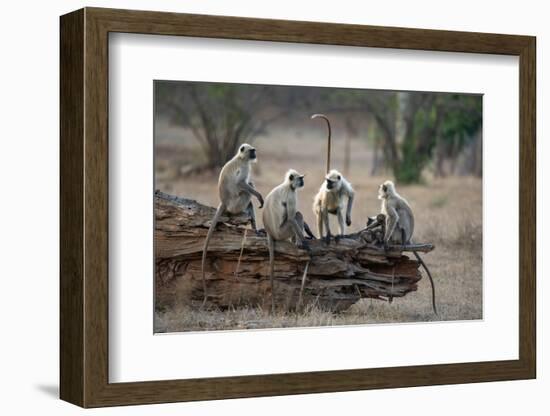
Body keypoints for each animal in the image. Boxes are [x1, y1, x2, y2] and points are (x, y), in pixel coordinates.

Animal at [201, 145, 266, 304]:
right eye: (252, 151)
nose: (255, 154)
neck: (240, 158)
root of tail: (224, 203)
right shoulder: (244, 167)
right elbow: (240, 183)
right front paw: (259, 196)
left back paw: (255, 229)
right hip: (237, 205)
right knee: (248, 187)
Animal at [264, 169, 314, 312]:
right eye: (300, 178)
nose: (303, 182)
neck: (288, 185)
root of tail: (269, 231)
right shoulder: (291, 195)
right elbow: (292, 218)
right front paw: (306, 244)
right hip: (282, 232)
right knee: (296, 215)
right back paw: (298, 242)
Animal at [380, 180, 440, 316]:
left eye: (381, 188)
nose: (379, 192)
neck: (391, 195)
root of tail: (408, 239)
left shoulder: (389, 201)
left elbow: (393, 218)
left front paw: (385, 240)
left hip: (400, 234)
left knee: (398, 218)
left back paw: (393, 241)